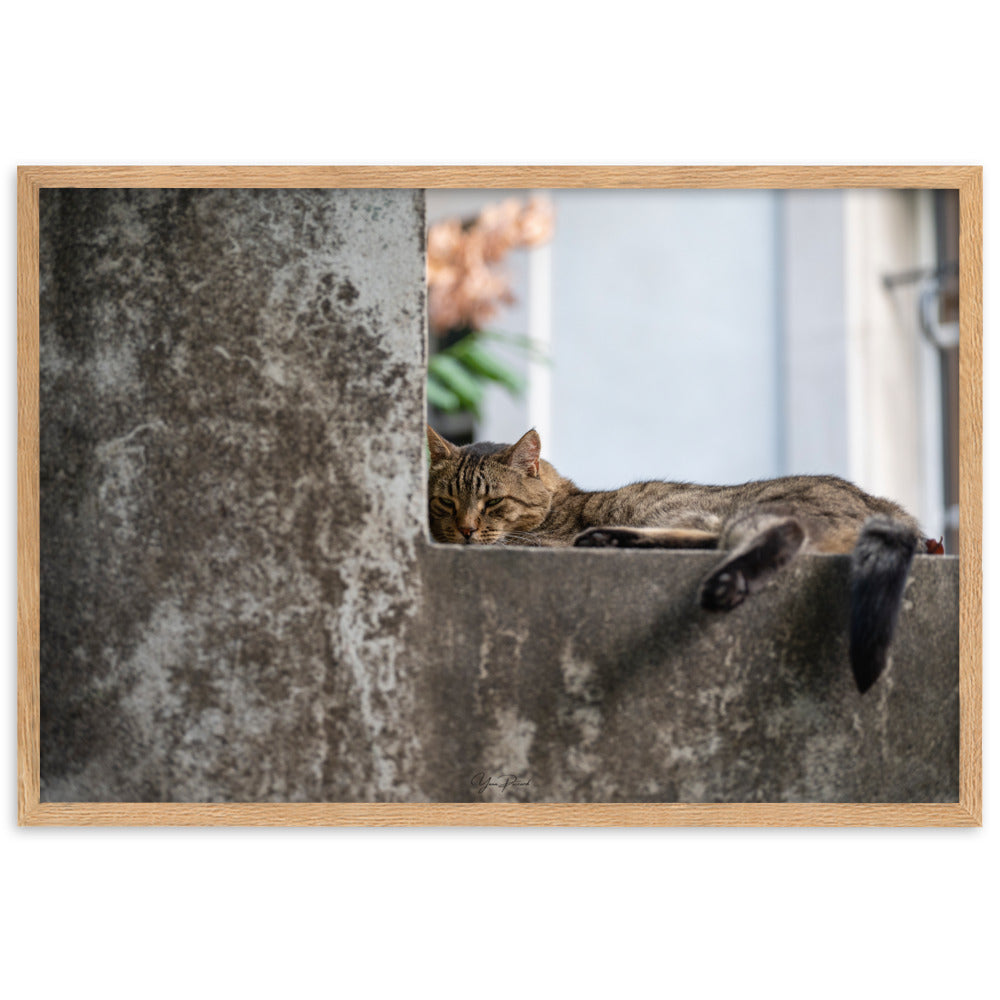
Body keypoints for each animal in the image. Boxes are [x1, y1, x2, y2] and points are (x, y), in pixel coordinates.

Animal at [426, 424, 924, 696]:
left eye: (492, 503)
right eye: (446, 503)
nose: (465, 530)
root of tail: (881, 505)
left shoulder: (540, 542)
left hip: (760, 510)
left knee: (782, 535)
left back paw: (724, 583)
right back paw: (611, 540)